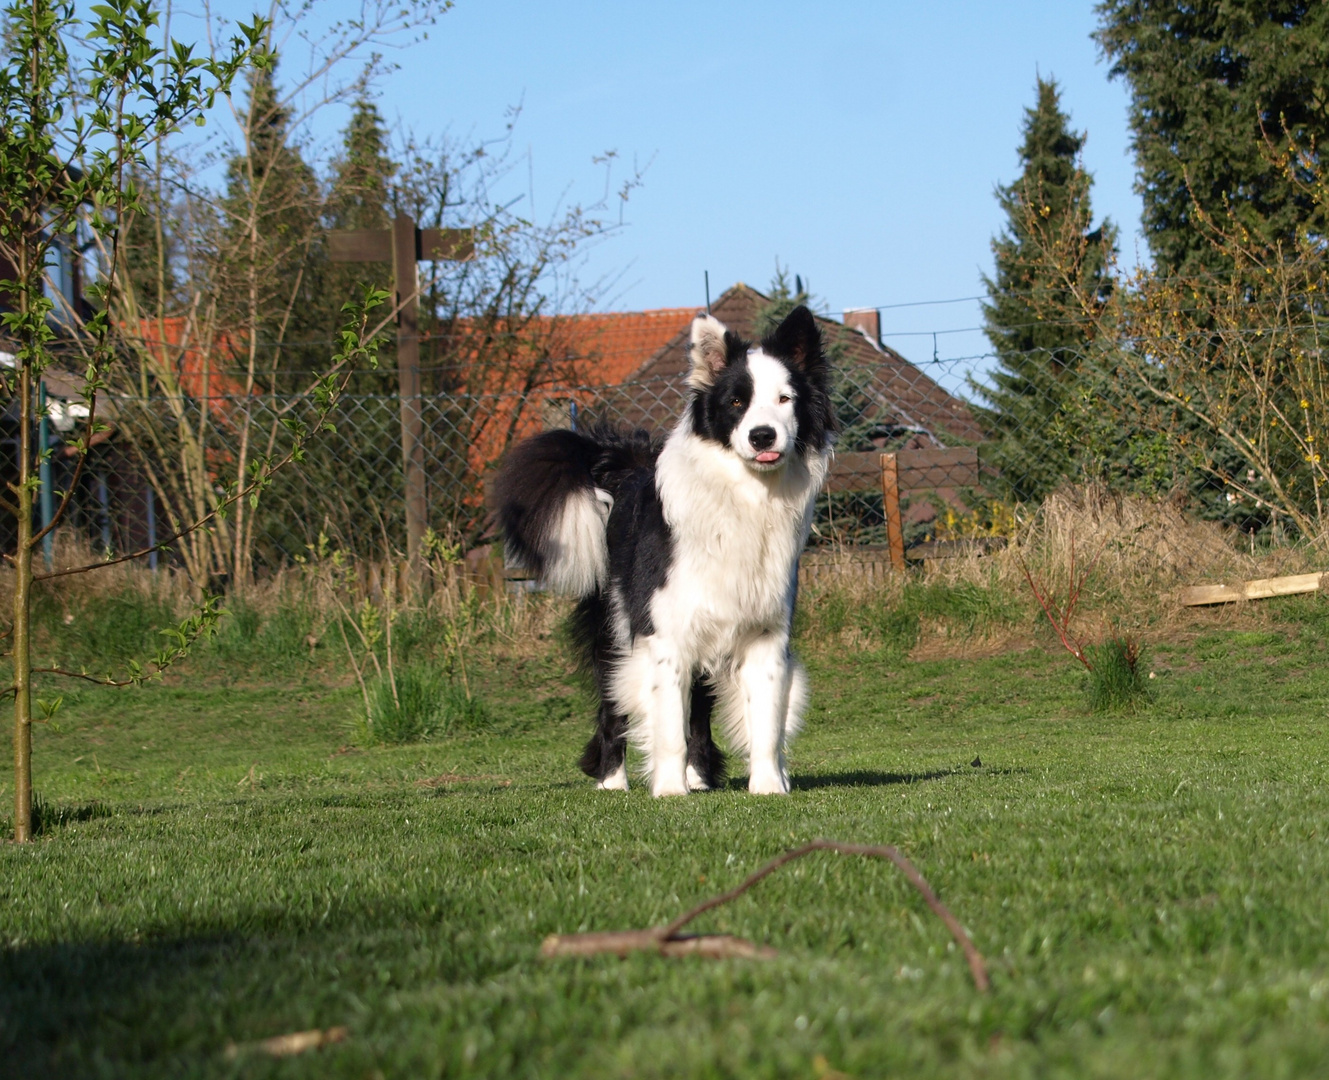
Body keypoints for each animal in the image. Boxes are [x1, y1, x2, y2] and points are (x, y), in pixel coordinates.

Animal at [494, 302, 834, 791]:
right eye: (736, 402)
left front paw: (769, 786)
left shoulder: (765, 631)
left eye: (786, 399)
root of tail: (622, 464)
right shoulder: (665, 632)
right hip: (613, 629)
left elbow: (766, 721)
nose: (763, 436)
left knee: (698, 709)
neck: (744, 497)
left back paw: (698, 775)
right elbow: (668, 721)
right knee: (614, 705)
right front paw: (669, 791)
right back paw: (613, 781)